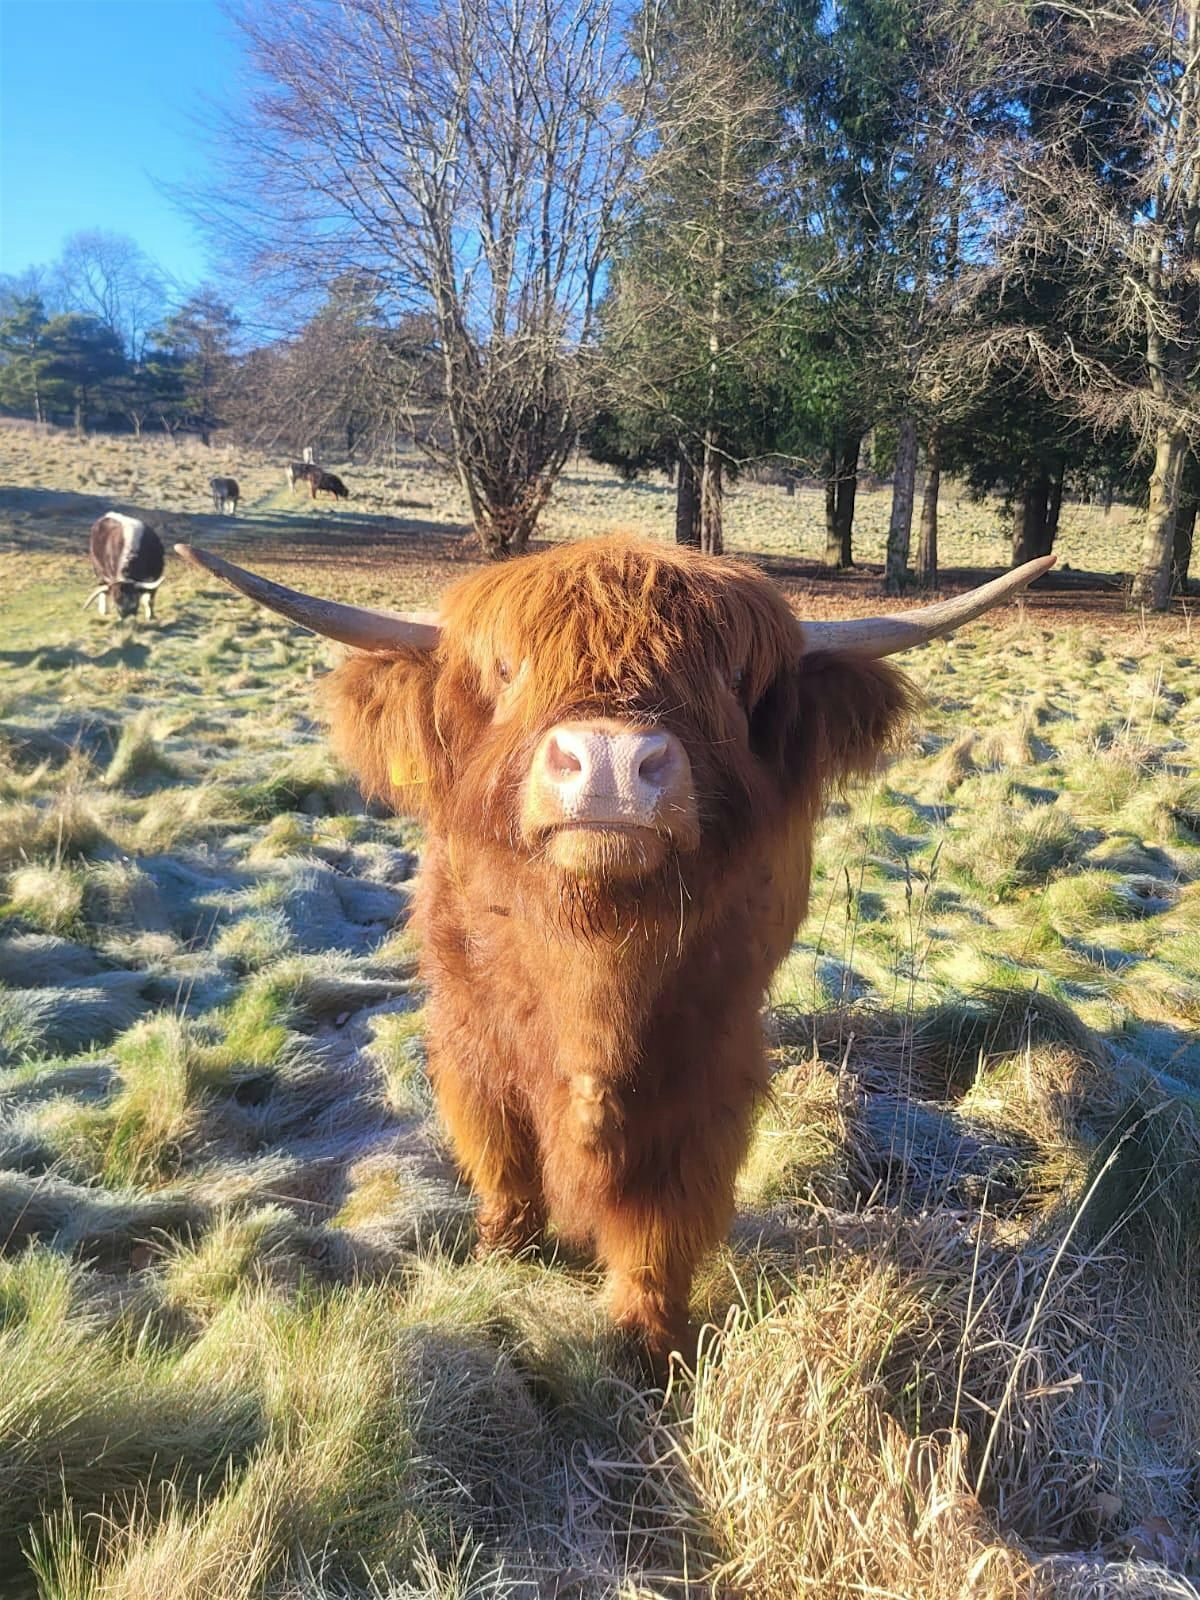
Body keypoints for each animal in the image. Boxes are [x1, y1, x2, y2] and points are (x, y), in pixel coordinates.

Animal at [176, 534, 1049, 1363]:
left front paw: (650, 1338)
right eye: (506, 668)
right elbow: (501, 1154)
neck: (593, 977)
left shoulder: (707, 1068)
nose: (609, 762)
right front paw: (504, 1250)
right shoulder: (469, 1038)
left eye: (732, 677)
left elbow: (663, 1217)